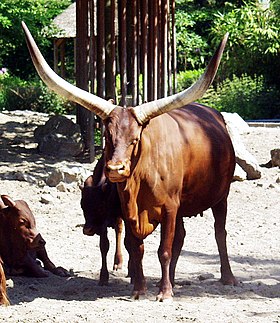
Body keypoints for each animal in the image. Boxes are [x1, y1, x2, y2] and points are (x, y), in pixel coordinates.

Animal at [81, 154, 124, 286]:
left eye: (100, 206)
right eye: (82, 206)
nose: (88, 230)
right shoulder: (102, 226)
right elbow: (104, 245)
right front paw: (103, 276)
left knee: (119, 231)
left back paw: (118, 262)